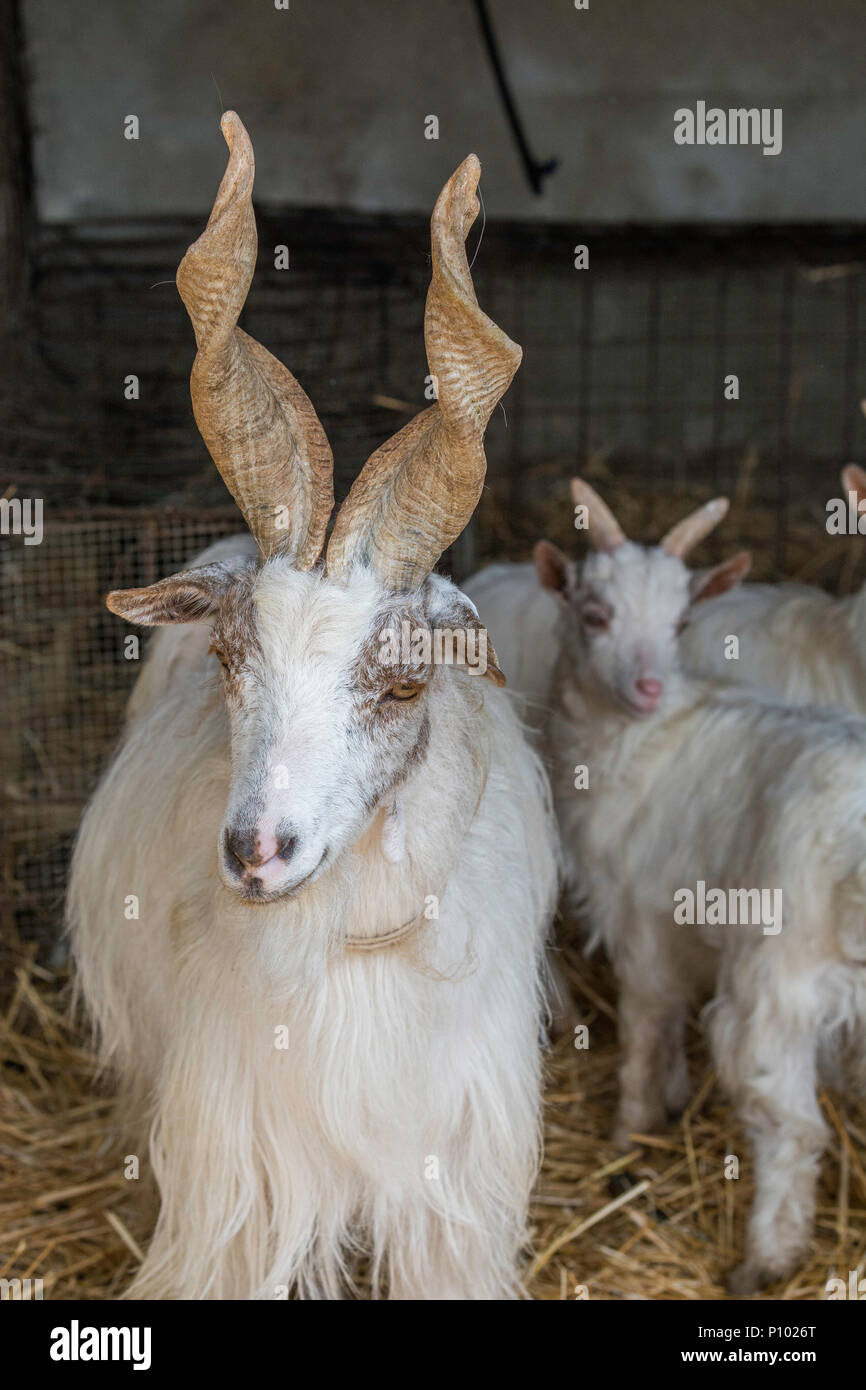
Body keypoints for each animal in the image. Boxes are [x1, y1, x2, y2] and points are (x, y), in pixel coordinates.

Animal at [67, 111, 558, 1301]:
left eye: (404, 679)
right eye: (229, 657)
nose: (256, 850)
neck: (348, 953)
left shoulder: (451, 1198)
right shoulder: (232, 1184)